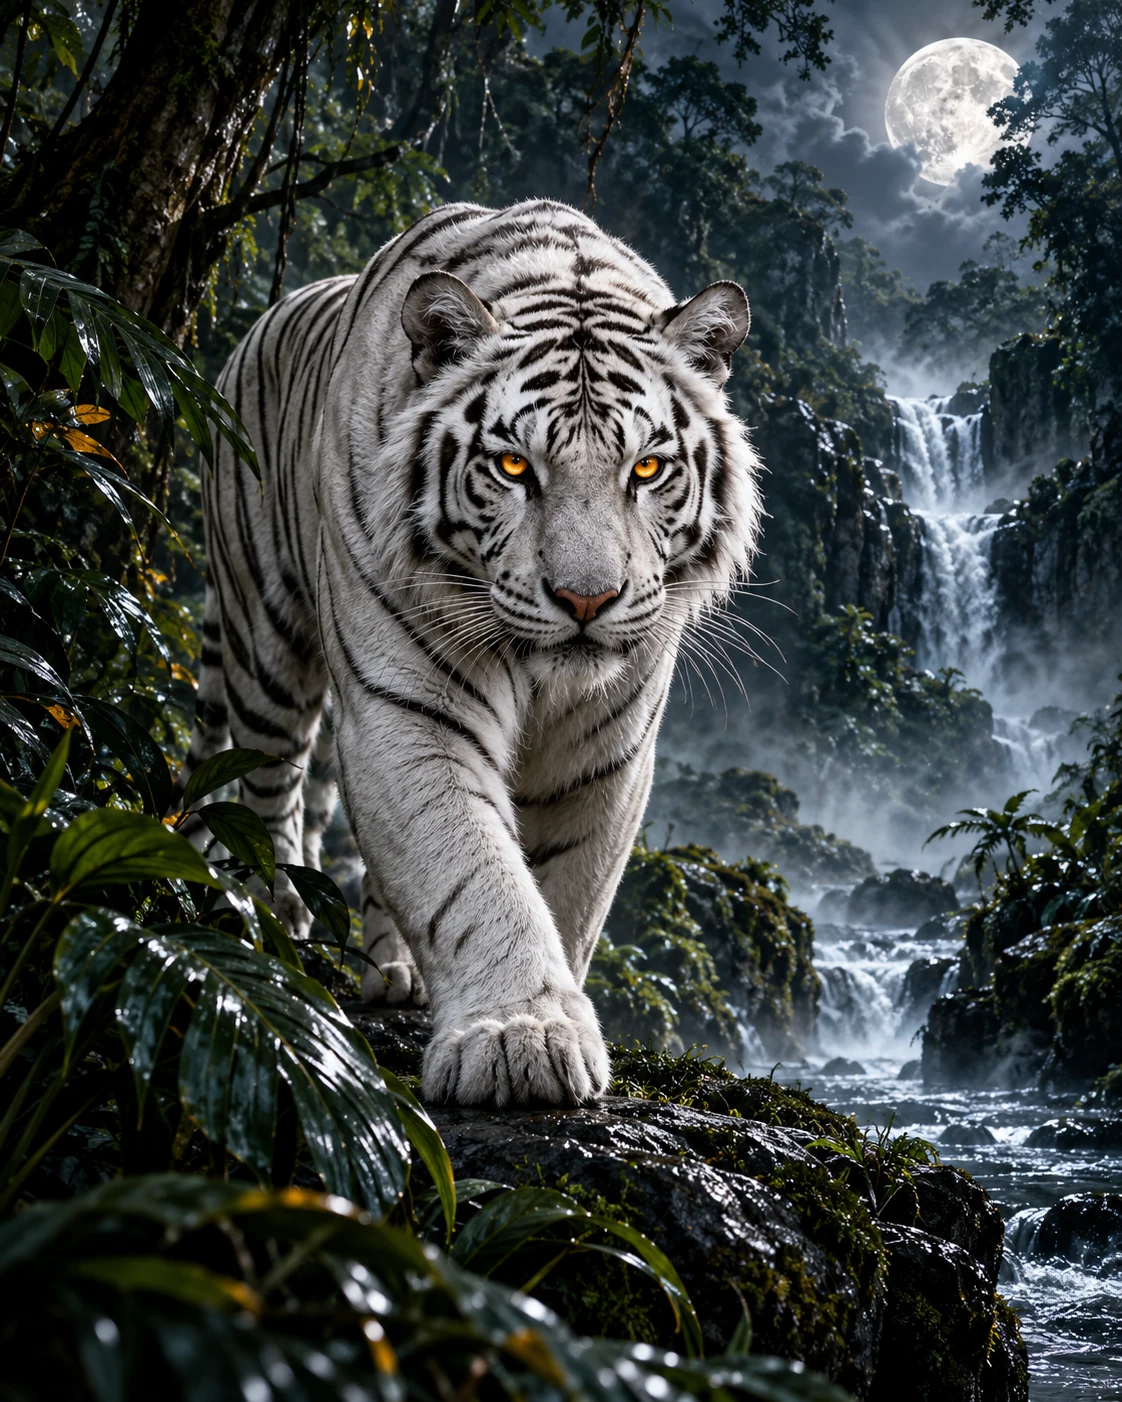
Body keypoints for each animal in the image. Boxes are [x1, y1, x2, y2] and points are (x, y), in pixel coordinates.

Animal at [185, 198, 762, 1107]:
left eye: (647, 469)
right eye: (514, 465)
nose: (586, 599)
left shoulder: (606, 749)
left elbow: (563, 890)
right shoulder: (409, 708)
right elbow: (471, 870)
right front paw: (519, 1037)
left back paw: (392, 970)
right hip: (262, 637)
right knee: (269, 786)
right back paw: (277, 922)